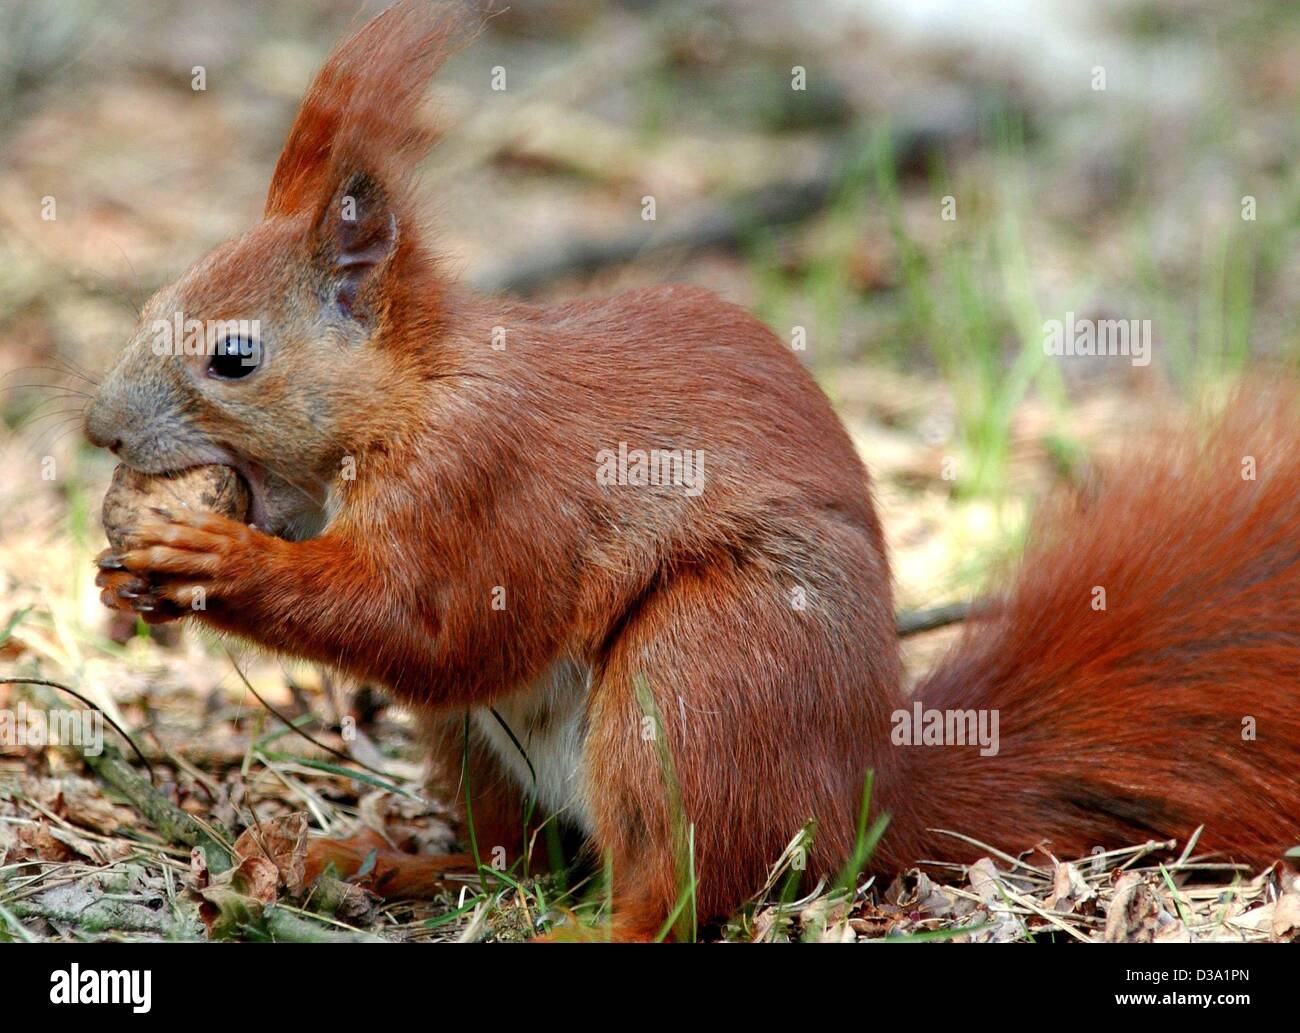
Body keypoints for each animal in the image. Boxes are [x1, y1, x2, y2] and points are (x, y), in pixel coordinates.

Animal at [84, 1, 1300, 940]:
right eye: (149, 301)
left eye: (233, 358)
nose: (98, 428)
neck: (410, 397)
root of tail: (867, 791)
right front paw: (126, 583)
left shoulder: (488, 475)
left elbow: (437, 623)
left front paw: (209, 556)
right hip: (486, 745)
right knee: (521, 854)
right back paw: (390, 863)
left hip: (703, 674)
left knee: (672, 893)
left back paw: (579, 929)